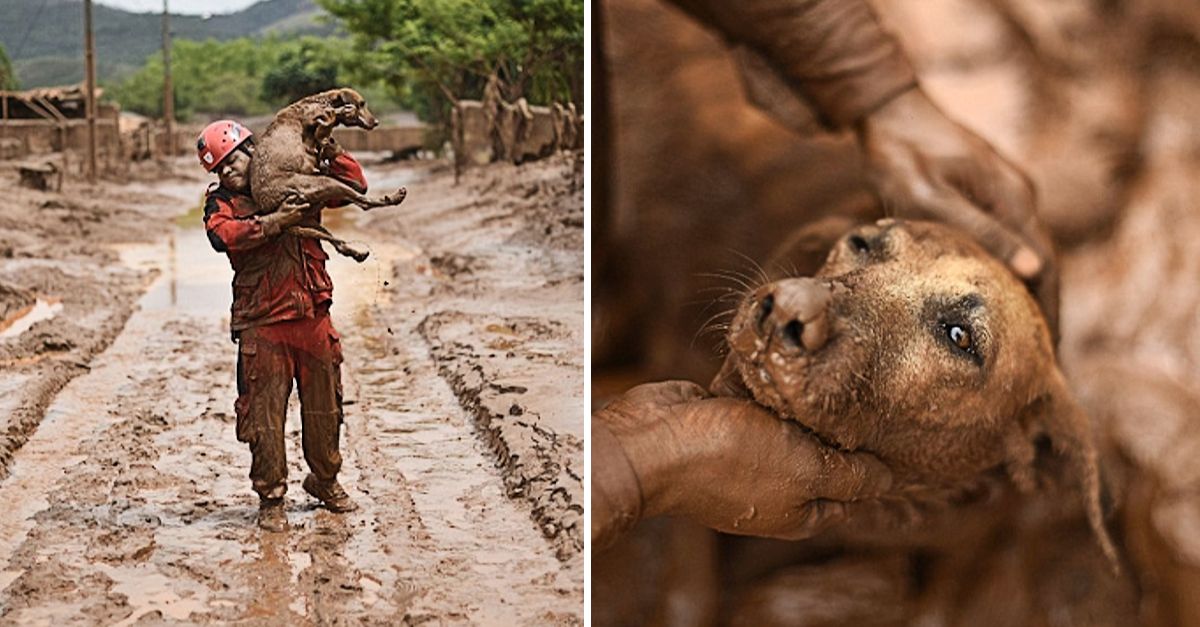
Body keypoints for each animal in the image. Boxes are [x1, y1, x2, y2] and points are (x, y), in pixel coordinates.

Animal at [248, 86, 408, 259]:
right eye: (361, 103)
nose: (376, 122)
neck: (321, 101)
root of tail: (266, 205)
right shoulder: (314, 117)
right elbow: (332, 113)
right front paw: (343, 111)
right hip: (322, 185)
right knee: (363, 202)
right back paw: (394, 197)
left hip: (309, 214)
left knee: (340, 236)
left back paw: (356, 251)